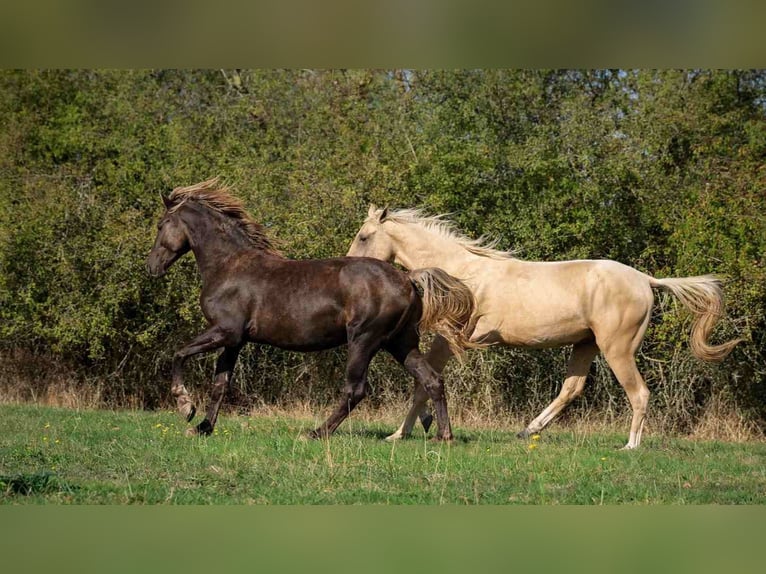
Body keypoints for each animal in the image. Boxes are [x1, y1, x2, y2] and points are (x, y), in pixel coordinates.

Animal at [146, 180, 477, 440]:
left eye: (161, 225)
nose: (152, 267)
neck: (229, 266)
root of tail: (408, 278)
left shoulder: (225, 331)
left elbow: (178, 353)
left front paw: (186, 407)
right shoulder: (235, 341)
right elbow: (220, 385)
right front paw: (202, 427)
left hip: (364, 340)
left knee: (356, 389)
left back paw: (317, 432)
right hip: (400, 342)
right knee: (432, 379)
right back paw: (444, 436)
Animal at [347, 205, 742, 449]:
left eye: (364, 235)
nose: (348, 265)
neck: (461, 274)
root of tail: (646, 280)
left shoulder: (449, 337)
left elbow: (423, 383)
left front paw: (399, 434)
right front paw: (417, 426)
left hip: (617, 349)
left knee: (639, 393)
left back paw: (630, 445)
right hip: (586, 344)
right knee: (572, 388)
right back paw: (528, 430)